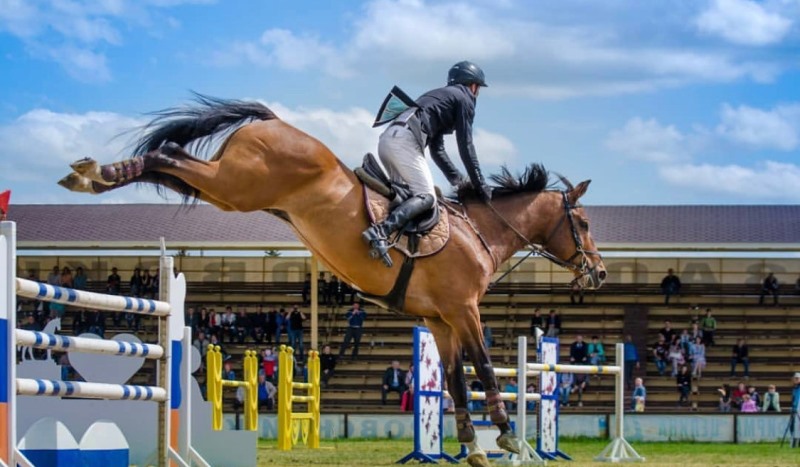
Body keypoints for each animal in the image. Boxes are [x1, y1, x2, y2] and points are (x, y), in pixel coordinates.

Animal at [57, 96, 608, 467]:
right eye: (582, 222)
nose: (599, 272)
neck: (482, 234)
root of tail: (274, 120)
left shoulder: (440, 321)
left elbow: (453, 381)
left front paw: (472, 447)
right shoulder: (462, 311)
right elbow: (486, 370)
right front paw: (510, 438)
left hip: (228, 188)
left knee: (173, 165)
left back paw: (95, 175)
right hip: (240, 186)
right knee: (169, 154)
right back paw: (92, 174)